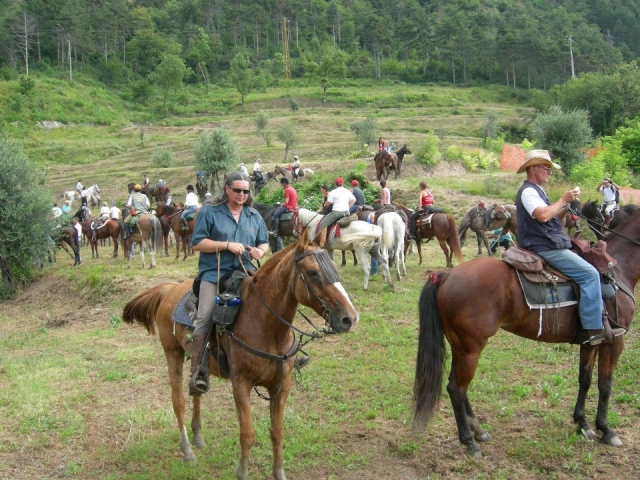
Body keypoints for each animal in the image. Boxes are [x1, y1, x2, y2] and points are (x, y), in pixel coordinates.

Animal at [121, 227, 359, 479]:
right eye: (313, 272)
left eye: (333, 266)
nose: (350, 319)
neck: (265, 325)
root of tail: (169, 289)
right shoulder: (241, 384)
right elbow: (248, 433)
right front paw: (242, 471)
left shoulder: (281, 385)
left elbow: (277, 431)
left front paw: (279, 472)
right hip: (172, 353)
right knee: (178, 402)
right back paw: (187, 451)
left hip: (197, 364)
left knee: (196, 392)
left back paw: (198, 437)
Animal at [412, 208, 640, 458]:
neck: (618, 269)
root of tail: (446, 276)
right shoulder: (615, 340)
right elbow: (605, 384)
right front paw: (606, 430)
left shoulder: (591, 342)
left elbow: (586, 379)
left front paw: (582, 423)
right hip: (471, 347)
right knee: (456, 388)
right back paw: (469, 441)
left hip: (460, 346)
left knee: (458, 387)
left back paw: (478, 431)